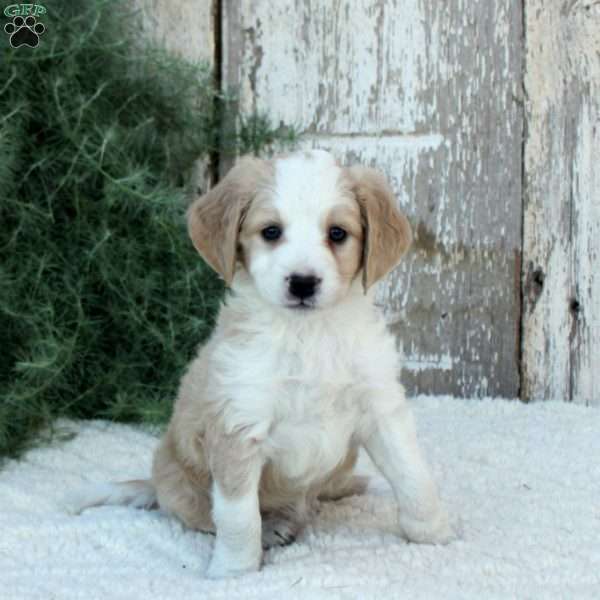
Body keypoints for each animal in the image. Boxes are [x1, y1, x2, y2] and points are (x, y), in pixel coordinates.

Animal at [70, 149, 452, 576]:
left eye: (337, 233)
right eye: (271, 232)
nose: (302, 283)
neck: (308, 335)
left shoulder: (380, 408)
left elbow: (413, 475)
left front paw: (434, 534)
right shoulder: (239, 424)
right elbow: (238, 514)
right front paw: (234, 571)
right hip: (184, 487)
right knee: (210, 516)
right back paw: (274, 528)